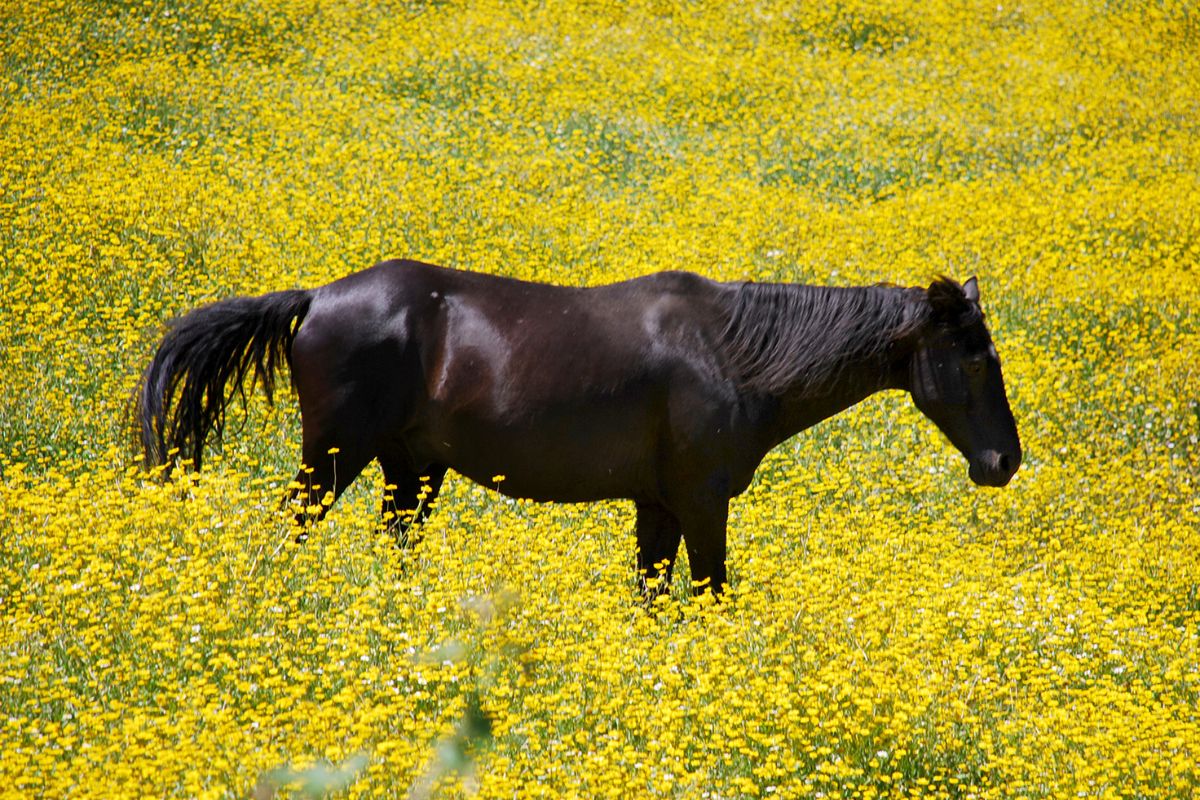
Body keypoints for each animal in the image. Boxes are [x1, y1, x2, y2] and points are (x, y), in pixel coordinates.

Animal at [138, 260, 1022, 597]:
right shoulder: (701, 502)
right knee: (284, 533)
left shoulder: (657, 507)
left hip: (409, 471)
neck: (732, 353)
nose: (1003, 462)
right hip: (332, 457)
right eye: (974, 358)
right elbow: (712, 593)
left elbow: (652, 597)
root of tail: (316, 297)